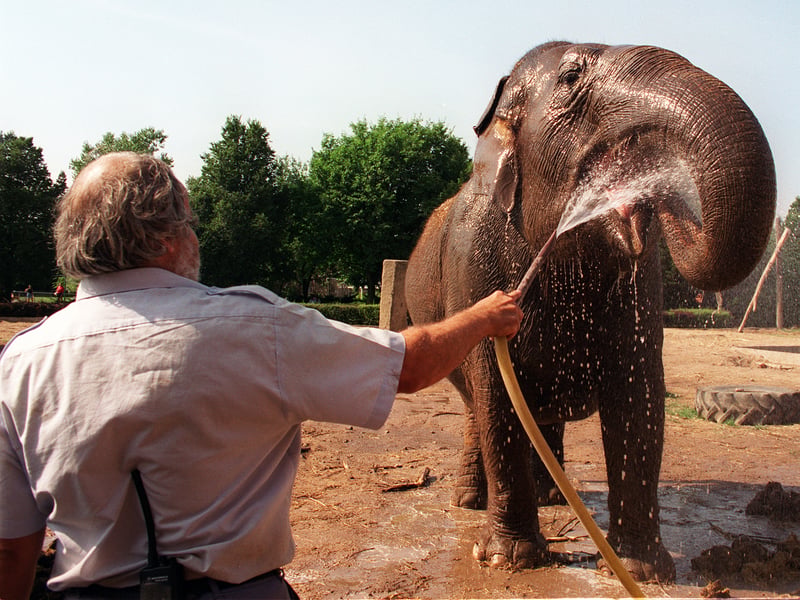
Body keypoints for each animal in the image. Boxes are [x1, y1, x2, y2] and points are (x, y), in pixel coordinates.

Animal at [405, 42, 775, 583]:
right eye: (571, 77)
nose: (660, 196)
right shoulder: (471, 264)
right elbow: (497, 388)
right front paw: (510, 559)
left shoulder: (642, 282)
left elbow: (640, 395)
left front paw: (642, 570)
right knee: (478, 405)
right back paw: (472, 501)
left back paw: (555, 496)